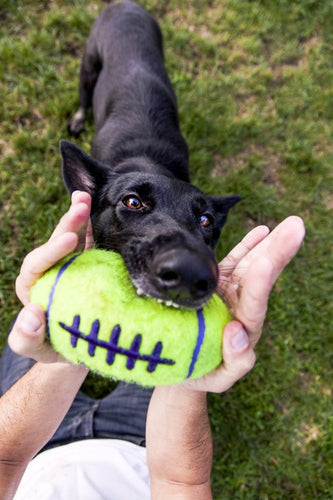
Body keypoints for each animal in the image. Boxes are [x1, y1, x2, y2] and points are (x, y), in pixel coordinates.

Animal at [61, 0, 239, 308]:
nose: (190, 272)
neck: (150, 162)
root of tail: (126, 4)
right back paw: (78, 120)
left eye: (206, 220)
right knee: (83, 101)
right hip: (88, 70)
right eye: (132, 202)